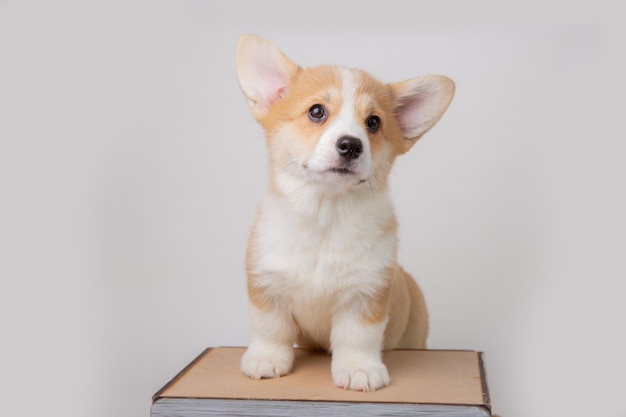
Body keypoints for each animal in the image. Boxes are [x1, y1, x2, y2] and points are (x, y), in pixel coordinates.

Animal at [234, 33, 454, 390]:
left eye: (374, 122)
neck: (326, 214)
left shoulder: (367, 294)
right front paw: (266, 359)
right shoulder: (266, 285)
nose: (351, 145)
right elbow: (270, 329)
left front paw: (359, 370)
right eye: (317, 111)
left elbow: (357, 336)